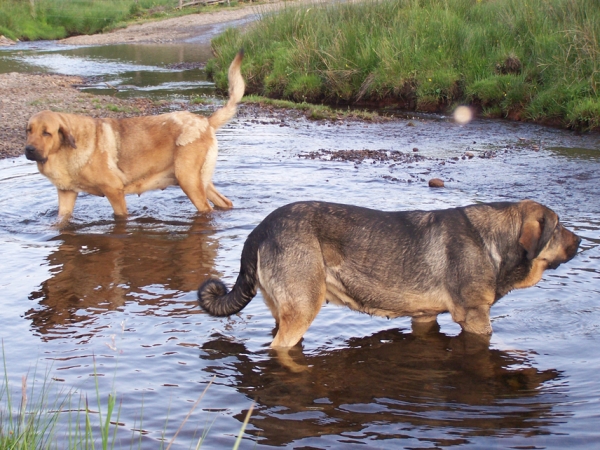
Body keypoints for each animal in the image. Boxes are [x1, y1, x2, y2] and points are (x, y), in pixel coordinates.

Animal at [23, 51, 244, 223]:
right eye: (28, 130)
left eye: (47, 132)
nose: (29, 150)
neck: (65, 153)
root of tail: (205, 121)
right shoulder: (67, 195)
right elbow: (61, 220)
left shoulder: (114, 191)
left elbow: (121, 216)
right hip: (200, 182)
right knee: (225, 202)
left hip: (188, 181)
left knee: (207, 209)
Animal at [200, 200, 580, 348]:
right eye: (559, 227)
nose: (582, 241)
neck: (494, 240)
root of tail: (259, 230)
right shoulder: (475, 319)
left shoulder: (424, 316)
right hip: (303, 310)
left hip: (285, 312)